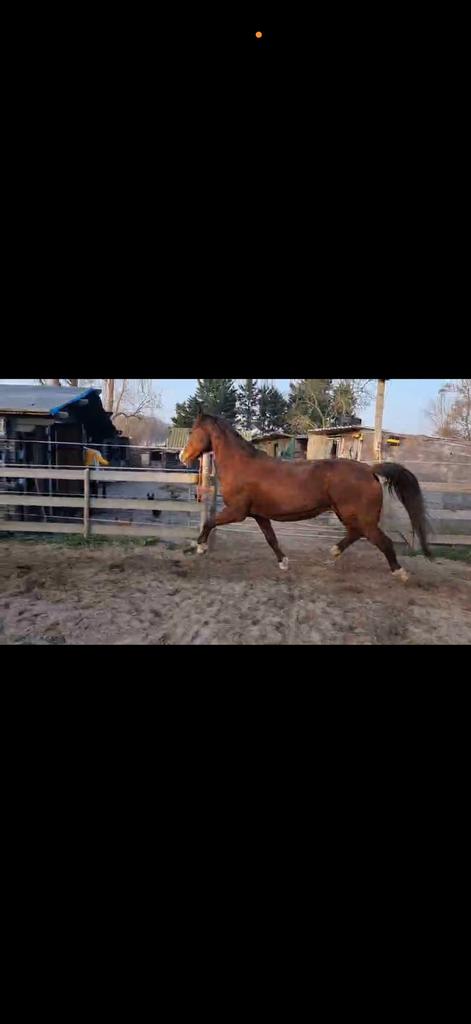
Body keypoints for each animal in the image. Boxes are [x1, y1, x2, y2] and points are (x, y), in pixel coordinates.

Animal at [180, 413, 432, 581]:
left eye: (193, 432)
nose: (182, 457)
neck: (241, 465)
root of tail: (369, 470)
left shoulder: (237, 512)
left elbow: (209, 522)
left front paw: (200, 547)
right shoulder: (259, 515)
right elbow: (271, 539)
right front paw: (283, 562)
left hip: (361, 517)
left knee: (381, 541)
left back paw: (400, 572)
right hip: (348, 515)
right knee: (356, 534)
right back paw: (333, 553)